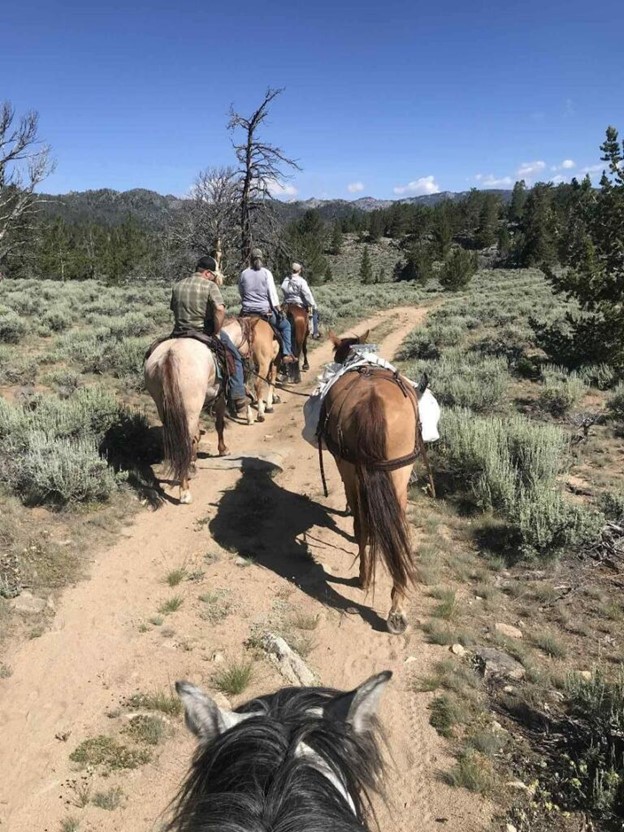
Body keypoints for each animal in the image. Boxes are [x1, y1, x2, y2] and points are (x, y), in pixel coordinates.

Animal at [144, 338, 227, 505]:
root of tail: (169, 354)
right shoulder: (220, 397)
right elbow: (219, 424)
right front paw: (222, 449)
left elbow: (197, 435)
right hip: (190, 409)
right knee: (185, 442)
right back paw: (185, 491)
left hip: (163, 406)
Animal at [319, 331, 435, 634]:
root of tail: (372, 402)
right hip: (399, 473)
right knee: (399, 529)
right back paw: (397, 608)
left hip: (355, 469)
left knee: (363, 524)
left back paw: (364, 578)